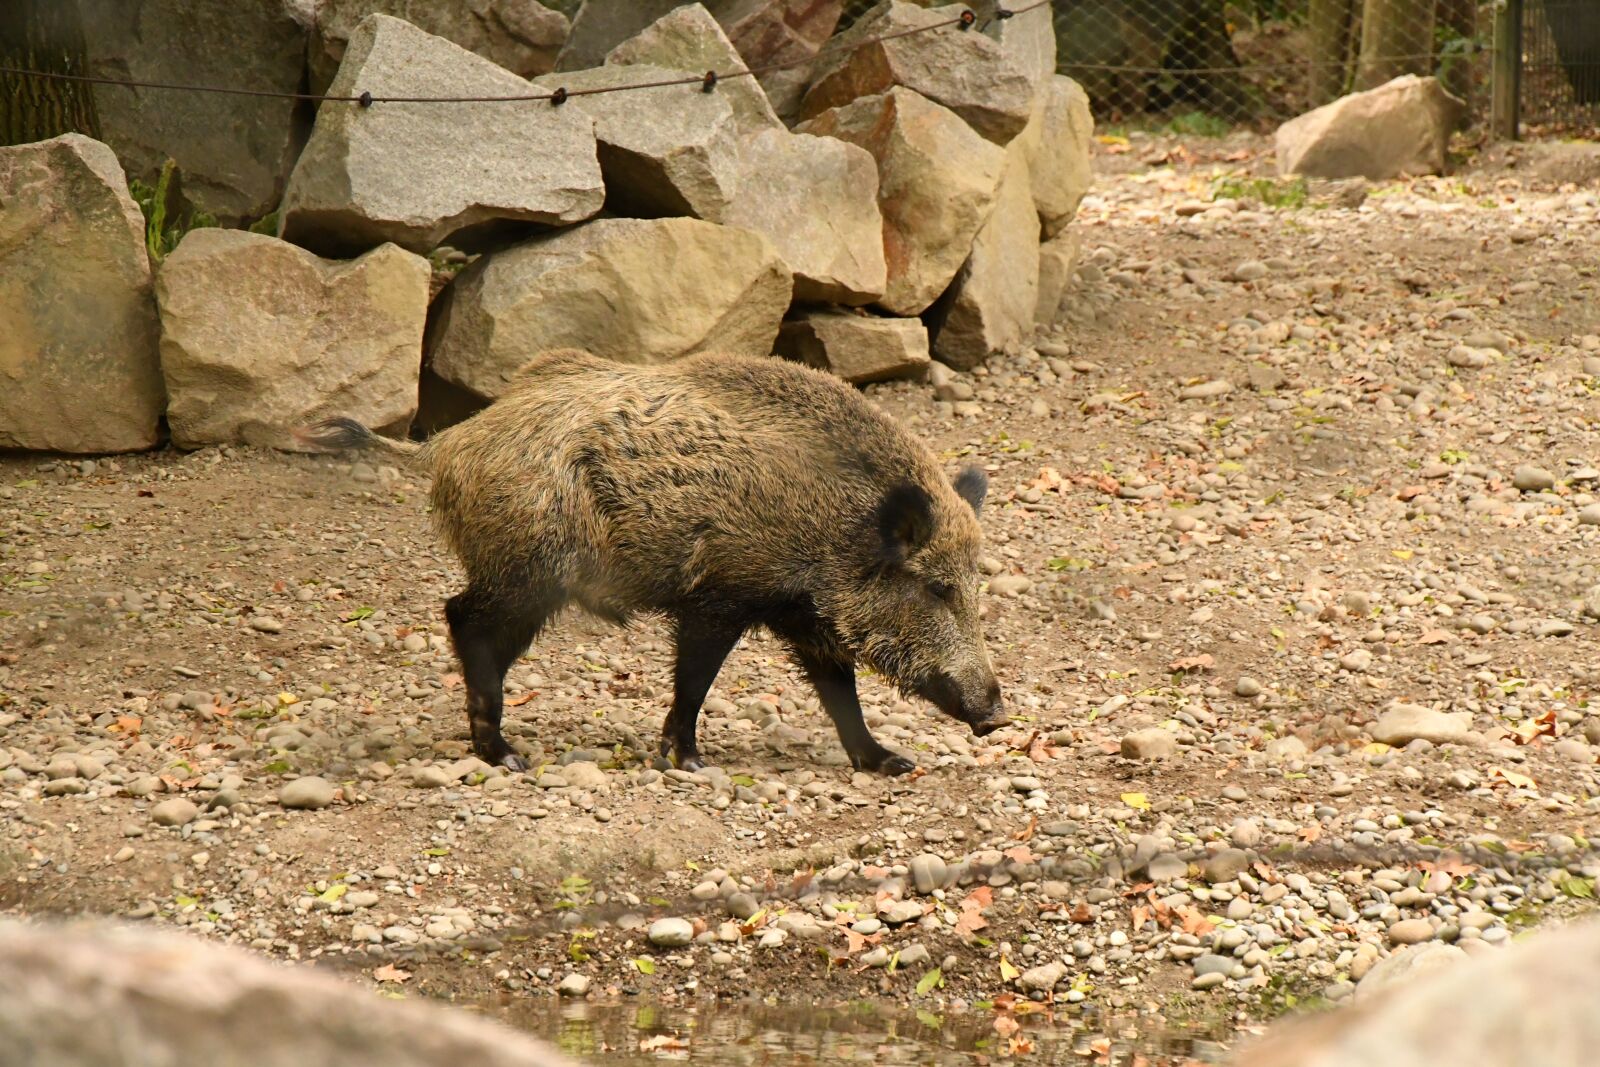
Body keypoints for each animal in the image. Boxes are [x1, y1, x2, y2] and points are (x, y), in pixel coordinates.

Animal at [299, 348, 1004, 775]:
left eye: (974, 586)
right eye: (936, 588)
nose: (997, 715)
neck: (833, 524)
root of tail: (448, 444)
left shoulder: (805, 617)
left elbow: (839, 690)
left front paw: (891, 763)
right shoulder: (719, 594)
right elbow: (695, 679)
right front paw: (687, 760)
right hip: (528, 572)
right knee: (462, 617)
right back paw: (506, 755)